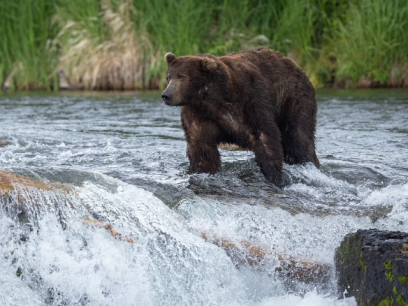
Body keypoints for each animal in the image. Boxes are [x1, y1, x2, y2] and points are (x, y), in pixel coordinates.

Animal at [162, 47, 318, 189]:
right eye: (169, 77)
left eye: (182, 76)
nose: (166, 95)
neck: (213, 98)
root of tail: (294, 64)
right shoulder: (197, 113)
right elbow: (202, 148)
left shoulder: (251, 101)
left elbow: (265, 137)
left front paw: (274, 178)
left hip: (293, 99)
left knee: (299, 139)